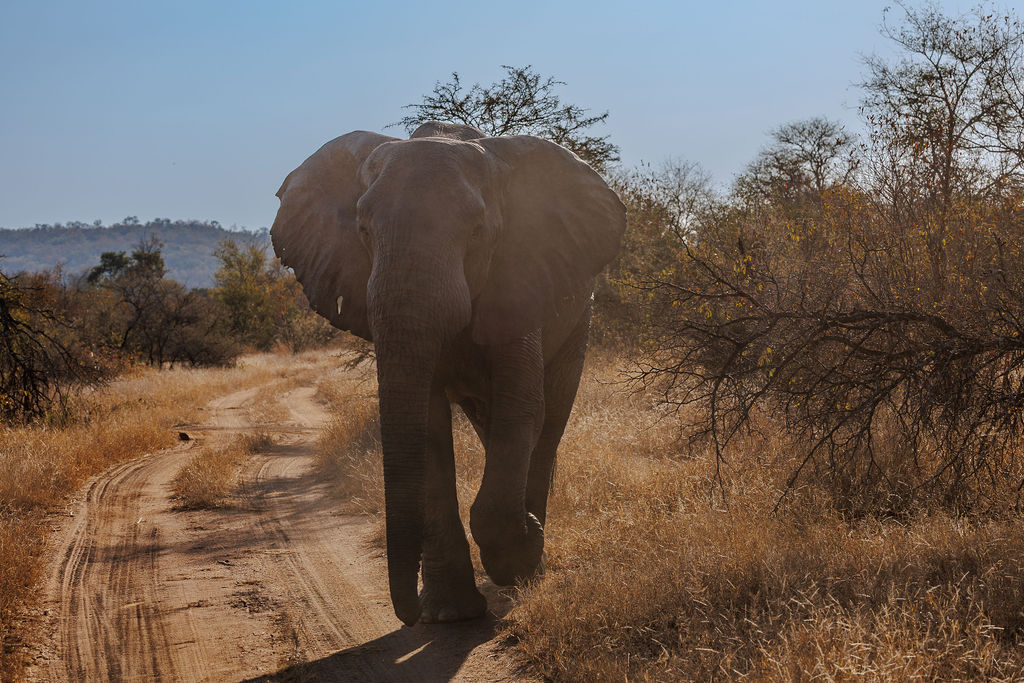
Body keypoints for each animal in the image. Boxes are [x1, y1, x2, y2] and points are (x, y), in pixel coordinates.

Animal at [270, 121, 626, 626]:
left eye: (477, 233)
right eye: (362, 231)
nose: (406, 615)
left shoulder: (518, 277)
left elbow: (524, 407)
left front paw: (520, 554)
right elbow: (429, 426)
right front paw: (449, 615)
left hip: (580, 318)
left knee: (549, 418)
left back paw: (532, 554)